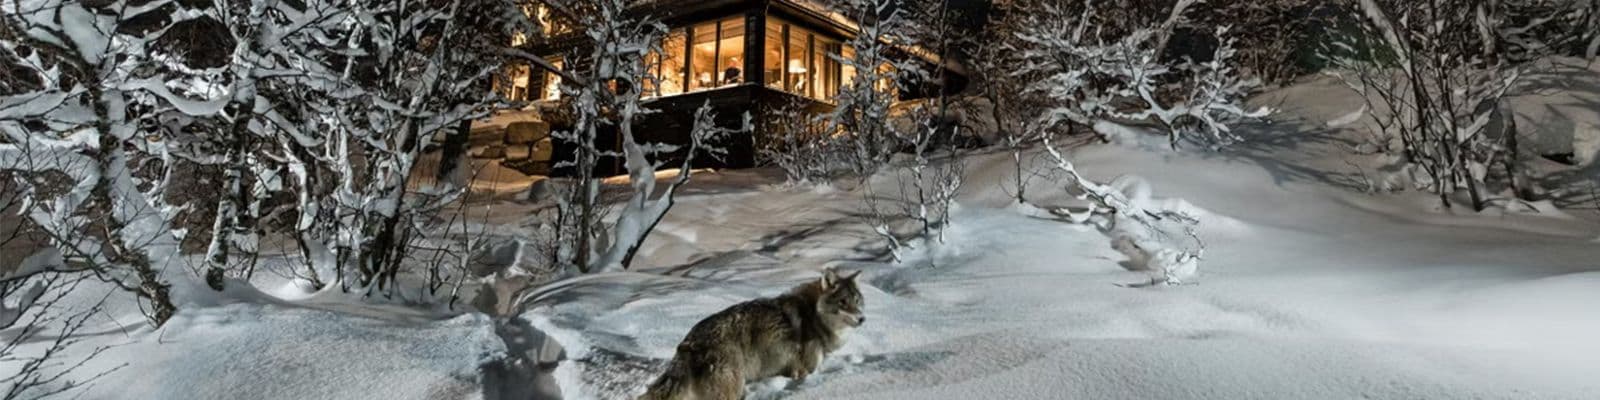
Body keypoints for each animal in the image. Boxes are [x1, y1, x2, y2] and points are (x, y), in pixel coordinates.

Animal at [638, 268, 866, 400]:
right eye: (843, 302)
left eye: (857, 301)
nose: (862, 319)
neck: (813, 314)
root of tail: (689, 342)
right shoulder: (803, 372)